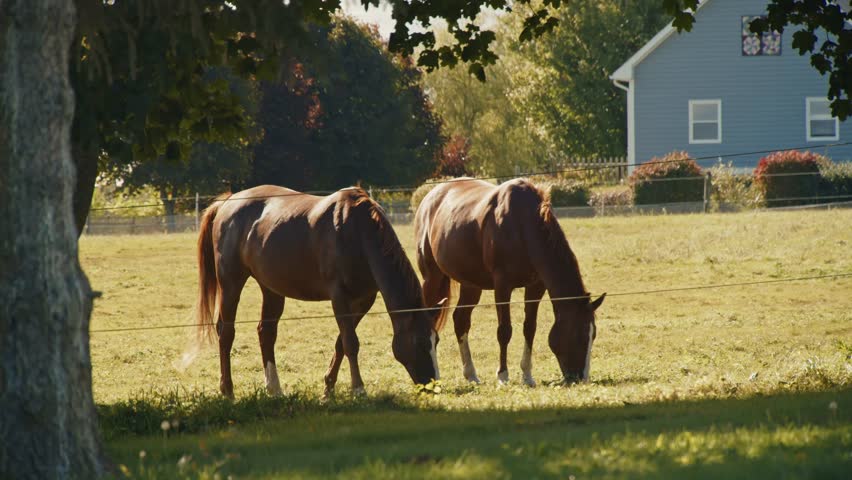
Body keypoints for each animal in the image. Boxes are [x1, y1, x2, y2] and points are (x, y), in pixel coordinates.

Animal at [195, 185, 443, 398]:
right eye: (420, 342)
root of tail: (227, 204)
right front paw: (358, 389)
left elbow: (341, 343)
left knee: (266, 332)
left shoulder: (364, 300)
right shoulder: (339, 296)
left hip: (271, 288)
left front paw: (328, 389)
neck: (358, 232)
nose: (434, 386)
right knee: (226, 332)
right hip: (230, 283)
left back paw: (274, 388)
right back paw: (227, 390)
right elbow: (351, 342)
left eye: (436, 341)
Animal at [415, 178, 605, 386]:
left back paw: (471, 374)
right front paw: (503, 376)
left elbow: (530, 328)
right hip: (432, 278)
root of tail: (430, 197)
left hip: (471, 285)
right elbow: (504, 331)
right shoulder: (502, 286)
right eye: (580, 336)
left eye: (593, 335)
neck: (523, 224)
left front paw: (527, 376)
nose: (581, 377)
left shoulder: (535, 287)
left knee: (461, 320)